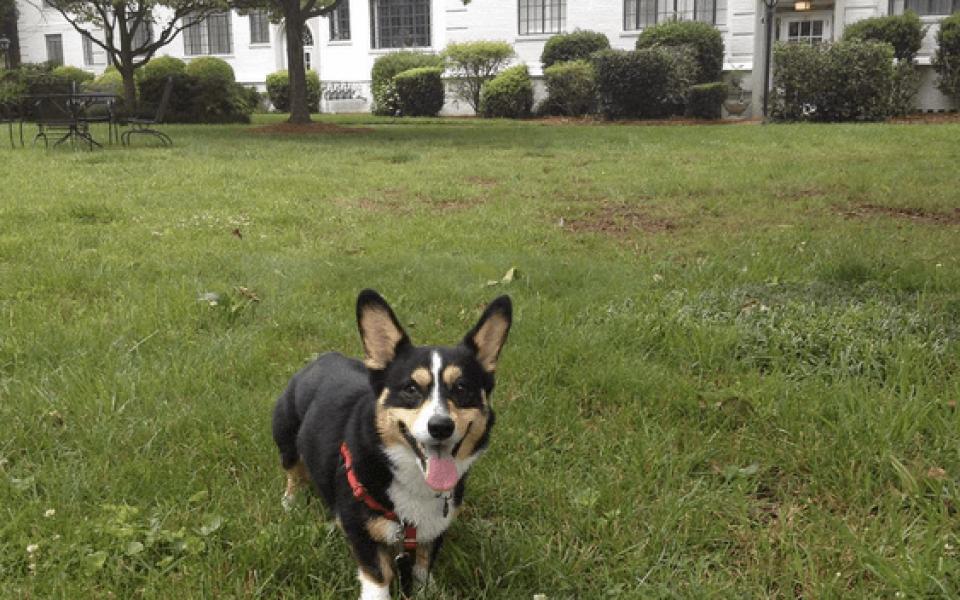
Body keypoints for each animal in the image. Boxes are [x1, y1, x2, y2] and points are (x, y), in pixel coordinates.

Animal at [272, 289, 512, 599]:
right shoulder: (362, 533)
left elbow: (423, 564)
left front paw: (425, 589)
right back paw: (291, 502)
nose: (441, 427)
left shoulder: (434, 529)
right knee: (293, 473)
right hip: (286, 438)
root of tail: (319, 359)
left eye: (462, 388)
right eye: (410, 389)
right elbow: (378, 575)